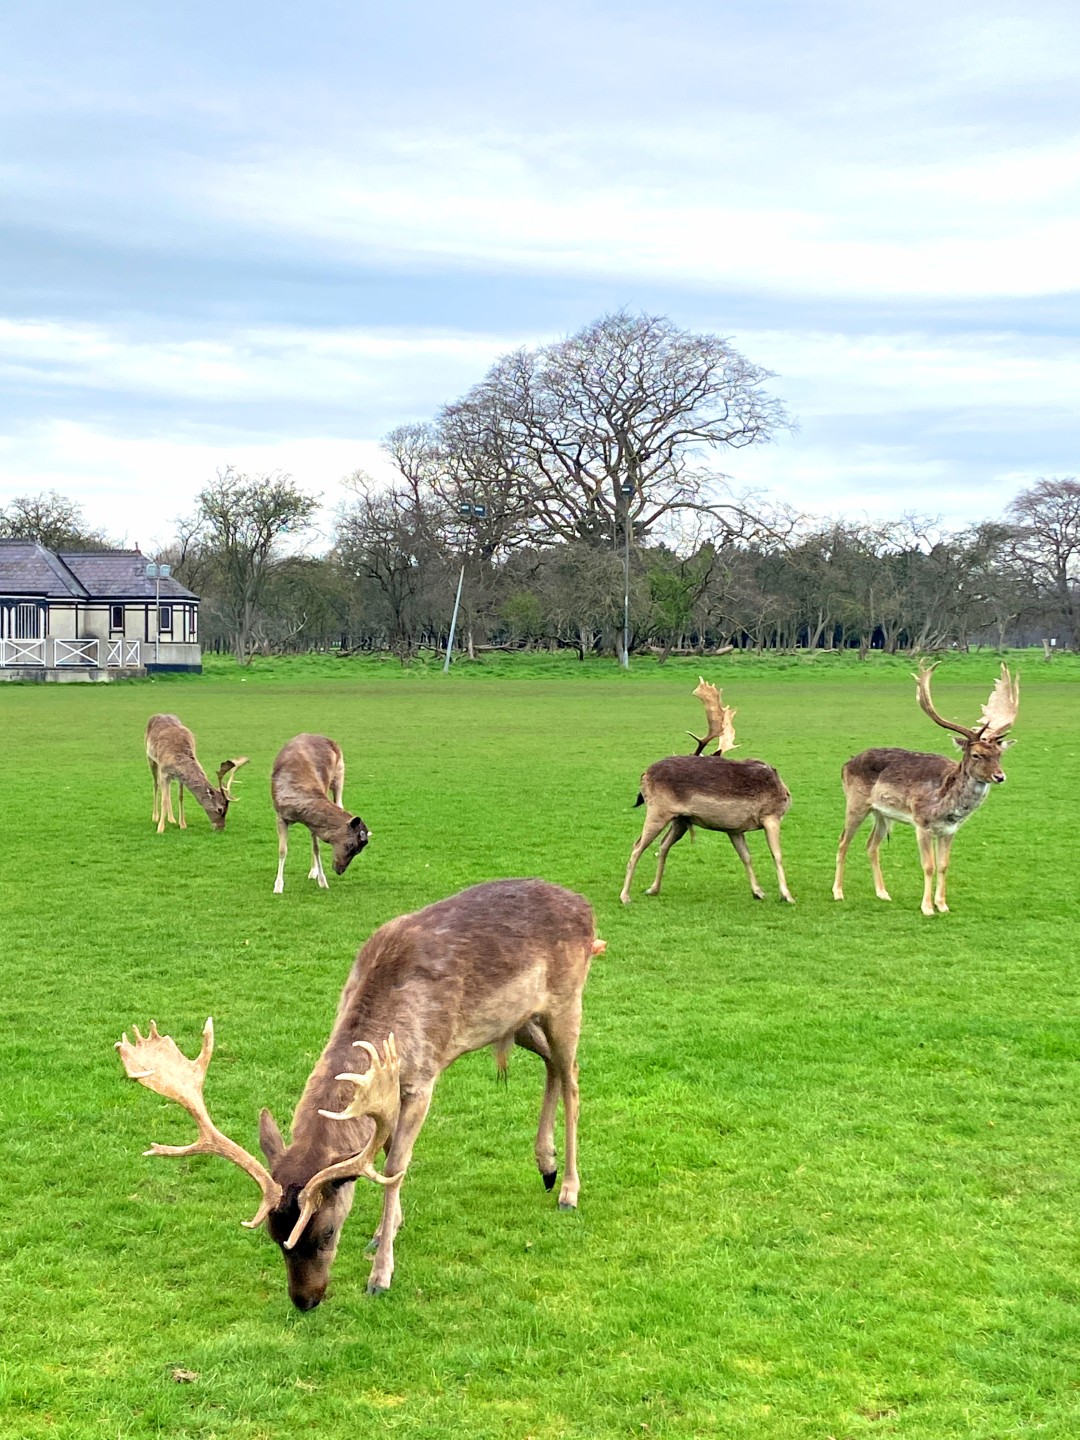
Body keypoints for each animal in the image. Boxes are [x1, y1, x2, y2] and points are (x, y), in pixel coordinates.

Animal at [115, 878, 604, 1310]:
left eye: (328, 1233)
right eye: (274, 1237)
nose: (305, 1301)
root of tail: (586, 908)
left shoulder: (421, 1078)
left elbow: (393, 1166)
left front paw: (380, 1274)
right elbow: (383, 1154)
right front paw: (387, 1230)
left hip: (567, 1000)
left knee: (573, 1076)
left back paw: (568, 1190)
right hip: (519, 1021)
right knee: (553, 1066)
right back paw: (546, 1165)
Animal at [271, 734, 370, 893]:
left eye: (359, 850)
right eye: (351, 845)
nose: (340, 870)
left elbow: (316, 848)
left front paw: (323, 881)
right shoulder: (280, 816)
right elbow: (282, 850)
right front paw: (278, 886)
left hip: (340, 773)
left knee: (340, 802)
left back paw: (314, 872)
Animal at [620, 678, 794, 905]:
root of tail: (644, 775)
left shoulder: (734, 828)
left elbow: (746, 856)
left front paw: (758, 892)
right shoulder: (770, 816)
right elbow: (777, 855)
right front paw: (787, 895)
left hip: (680, 820)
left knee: (663, 845)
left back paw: (653, 889)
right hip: (658, 811)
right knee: (637, 846)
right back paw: (625, 896)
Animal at [832, 661, 1020, 916]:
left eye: (999, 754)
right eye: (976, 754)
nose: (999, 776)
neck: (947, 807)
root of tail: (846, 763)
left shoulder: (949, 830)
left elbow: (943, 865)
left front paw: (943, 905)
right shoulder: (921, 823)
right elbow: (928, 865)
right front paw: (927, 907)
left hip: (882, 813)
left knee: (871, 845)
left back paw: (883, 893)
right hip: (856, 803)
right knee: (843, 841)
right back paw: (838, 892)